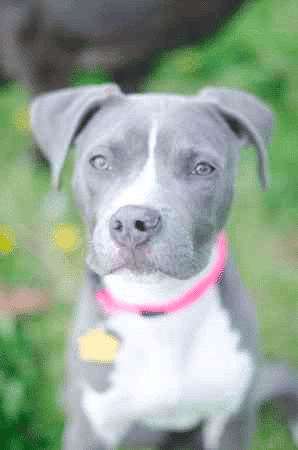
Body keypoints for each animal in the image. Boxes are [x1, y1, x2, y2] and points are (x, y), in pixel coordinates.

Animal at [30, 85, 298, 450]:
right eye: (100, 161)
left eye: (202, 168)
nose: (133, 222)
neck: (159, 309)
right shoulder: (90, 428)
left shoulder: (231, 420)